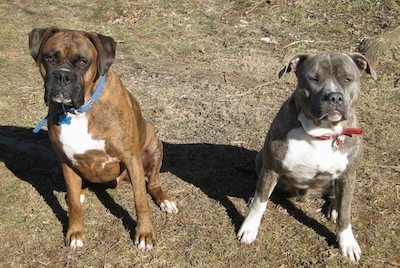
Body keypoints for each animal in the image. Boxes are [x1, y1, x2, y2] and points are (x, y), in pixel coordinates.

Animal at [28, 26, 177, 250]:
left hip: (154, 144)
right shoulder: (66, 161)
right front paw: (76, 233)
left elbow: (140, 200)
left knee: (152, 183)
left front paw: (144, 233)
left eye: (83, 62)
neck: (80, 110)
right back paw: (81, 192)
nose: (63, 76)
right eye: (50, 58)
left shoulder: (131, 159)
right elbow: (73, 203)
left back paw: (165, 200)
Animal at [239, 52, 376, 262]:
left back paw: (334, 208)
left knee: (337, 197)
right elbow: (259, 203)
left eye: (347, 79)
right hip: (260, 160)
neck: (321, 132)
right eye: (313, 79)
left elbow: (346, 213)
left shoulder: (348, 175)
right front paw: (249, 228)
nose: (334, 97)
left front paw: (348, 243)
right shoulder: (271, 169)